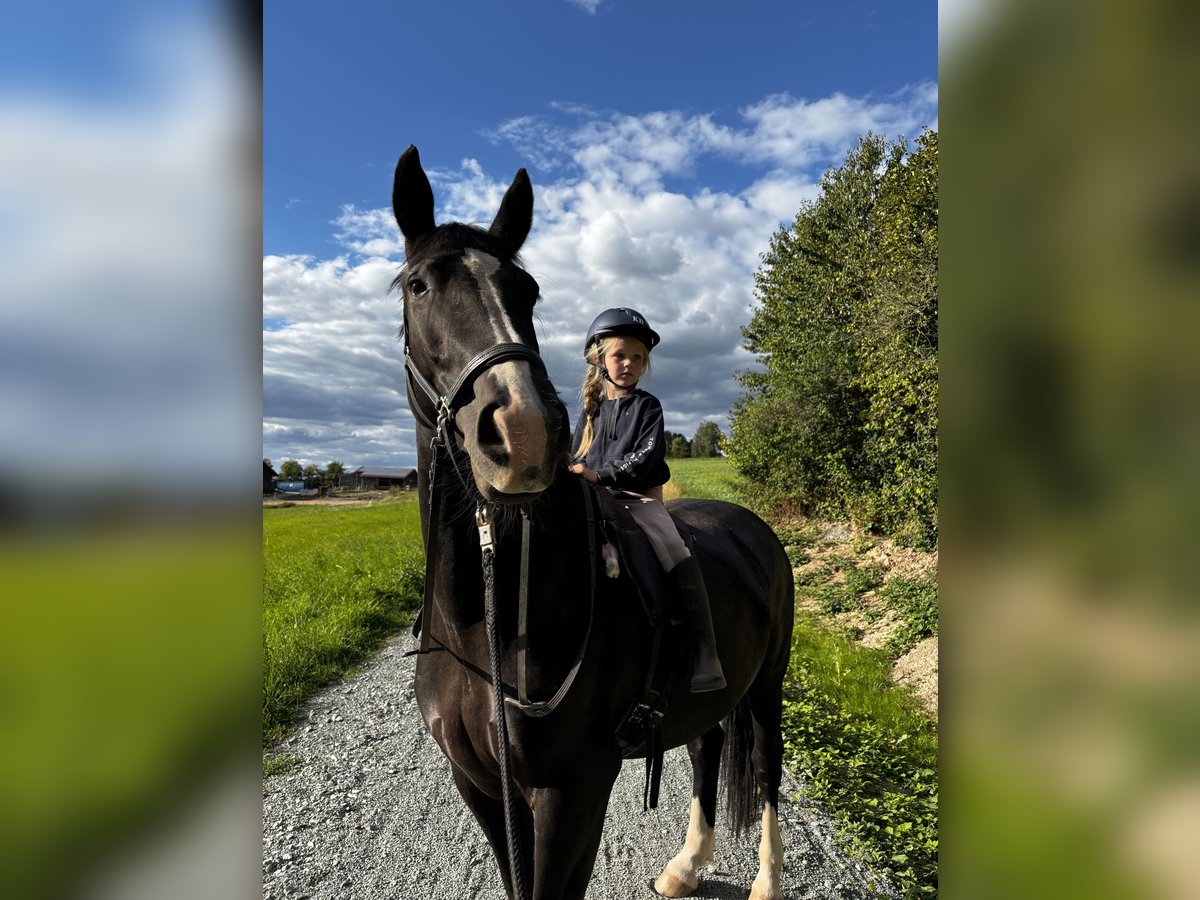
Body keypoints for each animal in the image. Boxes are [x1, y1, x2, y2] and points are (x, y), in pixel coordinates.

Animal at [392, 144, 795, 900]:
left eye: (527, 290)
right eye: (420, 286)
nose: (521, 432)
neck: (487, 618)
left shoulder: (572, 791)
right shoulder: (481, 786)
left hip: (767, 687)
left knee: (766, 768)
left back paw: (766, 880)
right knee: (707, 746)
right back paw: (687, 864)